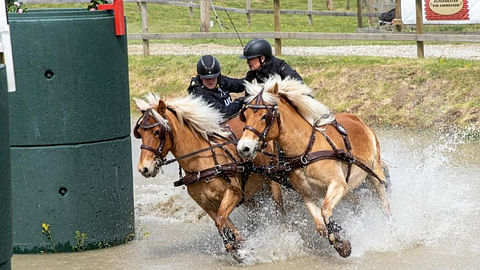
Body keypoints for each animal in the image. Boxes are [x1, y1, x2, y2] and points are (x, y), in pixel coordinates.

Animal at [135, 94, 284, 258]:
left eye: (157, 132)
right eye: (140, 134)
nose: (144, 168)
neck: (201, 164)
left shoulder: (234, 193)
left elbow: (220, 220)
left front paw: (237, 247)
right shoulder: (207, 205)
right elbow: (222, 223)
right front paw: (236, 245)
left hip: (273, 181)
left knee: (280, 210)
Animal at [236, 77, 390, 258]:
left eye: (264, 116)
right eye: (245, 116)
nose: (243, 148)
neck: (305, 150)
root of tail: (357, 119)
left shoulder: (338, 185)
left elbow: (325, 211)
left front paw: (341, 243)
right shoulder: (308, 196)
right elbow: (321, 227)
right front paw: (340, 241)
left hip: (374, 173)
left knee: (384, 203)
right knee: (356, 203)